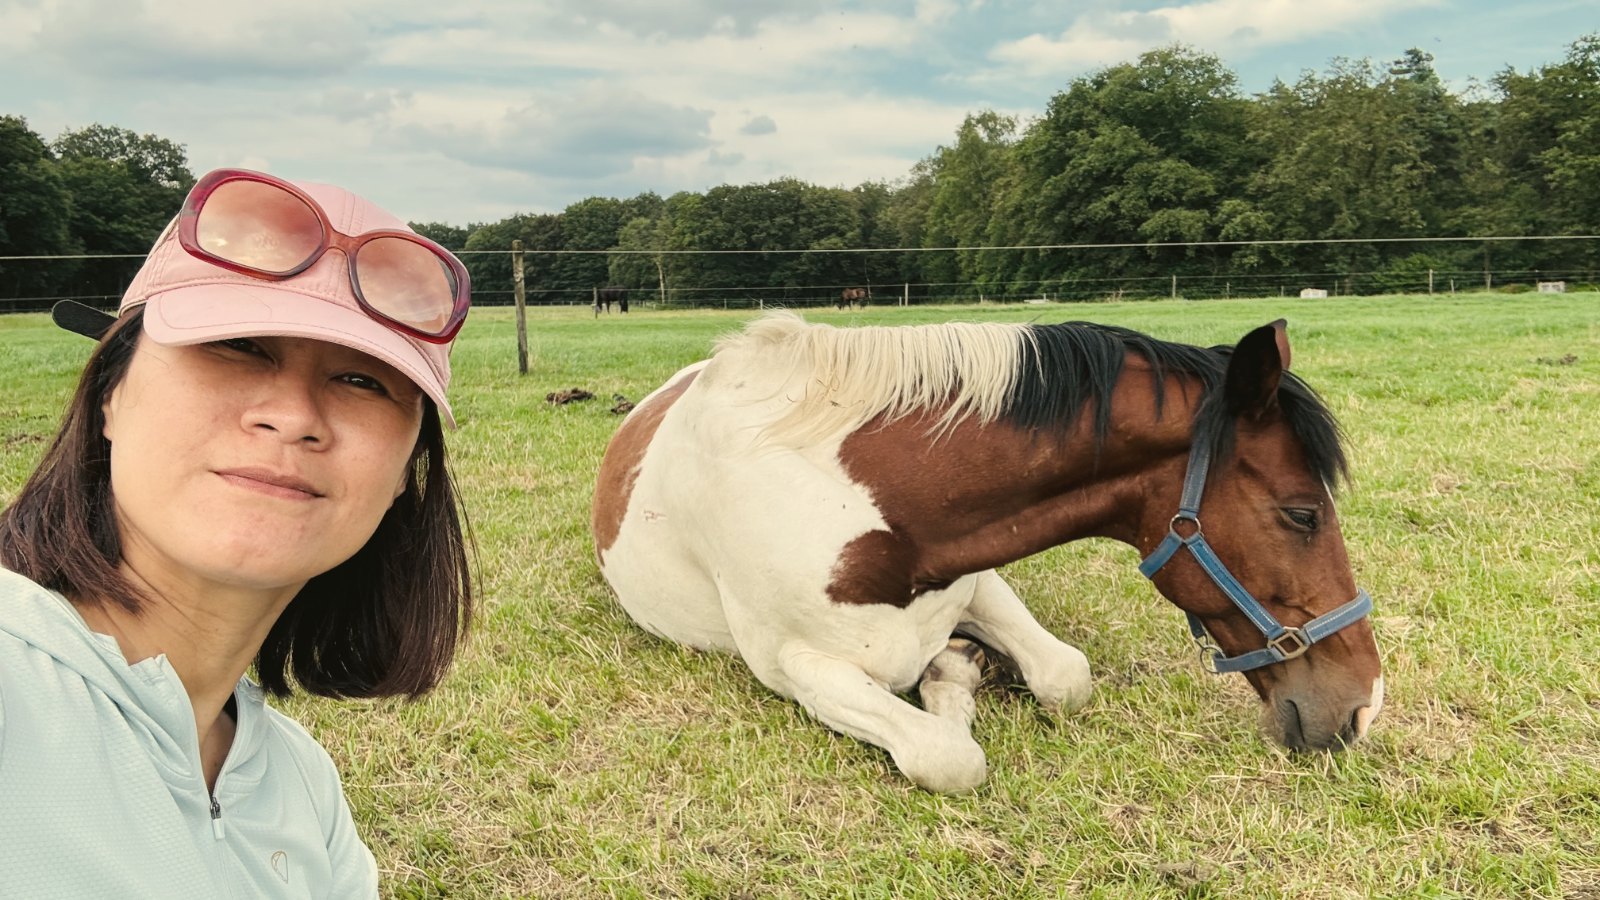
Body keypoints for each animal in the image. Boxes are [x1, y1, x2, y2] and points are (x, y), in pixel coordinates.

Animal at [591, 312, 1382, 792]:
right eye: (1303, 513)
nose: (1364, 707)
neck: (867, 505)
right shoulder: (796, 666)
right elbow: (950, 757)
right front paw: (950, 681)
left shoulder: (978, 579)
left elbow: (1065, 676)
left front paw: (955, 671)